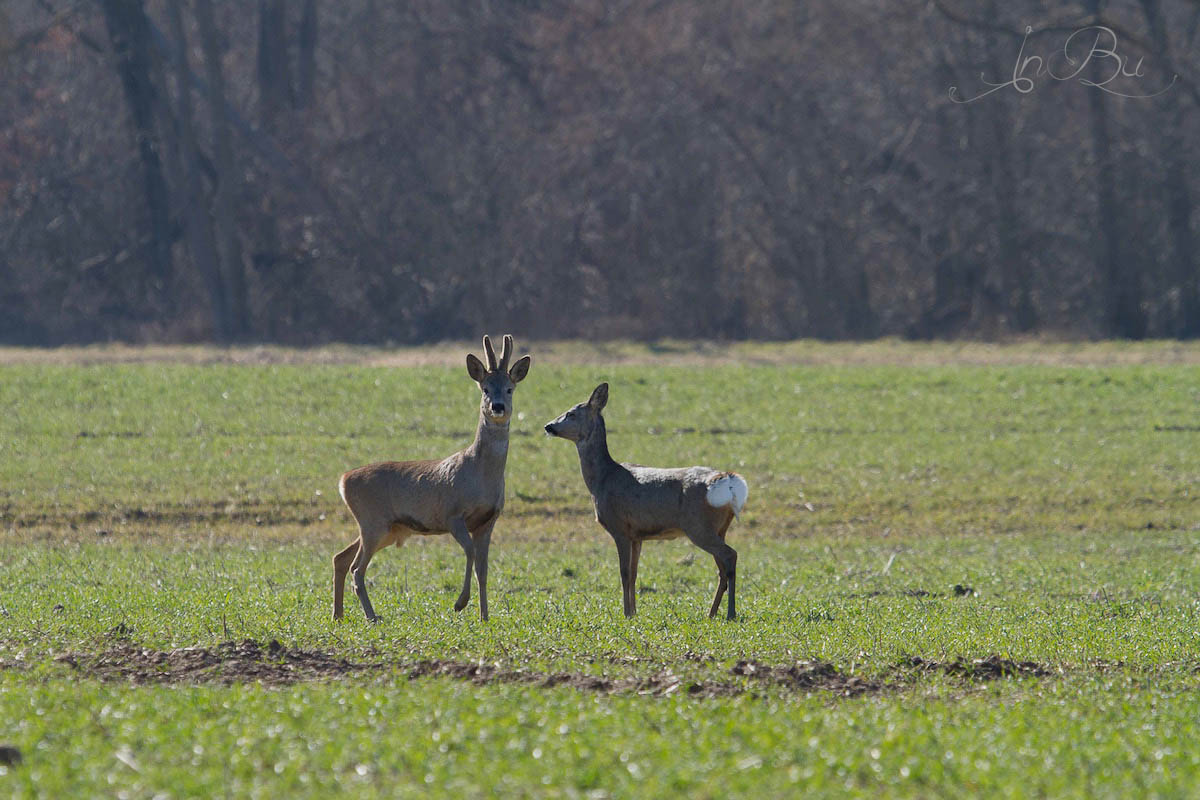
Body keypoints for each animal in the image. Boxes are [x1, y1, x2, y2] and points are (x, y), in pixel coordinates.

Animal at [333, 335, 530, 623]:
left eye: (509, 389)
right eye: (484, 388)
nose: (498, 407)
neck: (480, 475)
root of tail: (343, 480)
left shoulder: (488, 521)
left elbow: (483, 568)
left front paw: (484, 616)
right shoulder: (452, 514)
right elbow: (470, 552)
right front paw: (460, 603)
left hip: (385, 528)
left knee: (341, 558)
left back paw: (338, 615)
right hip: (372, 522)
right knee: (357, 569)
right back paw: (372, 616)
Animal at [547, 383, 748, 623]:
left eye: (571, 413)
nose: (549, 426)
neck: (602, 479)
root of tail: (727, 480)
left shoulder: (620, 528)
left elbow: (624, 573)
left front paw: (626, 613)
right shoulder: (637, 535)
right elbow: (634, 573)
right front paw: (634, 613)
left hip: (698, 526)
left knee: (730, 555)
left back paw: (730, 613)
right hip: (719, 528)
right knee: (722, 567)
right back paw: (711, 613)